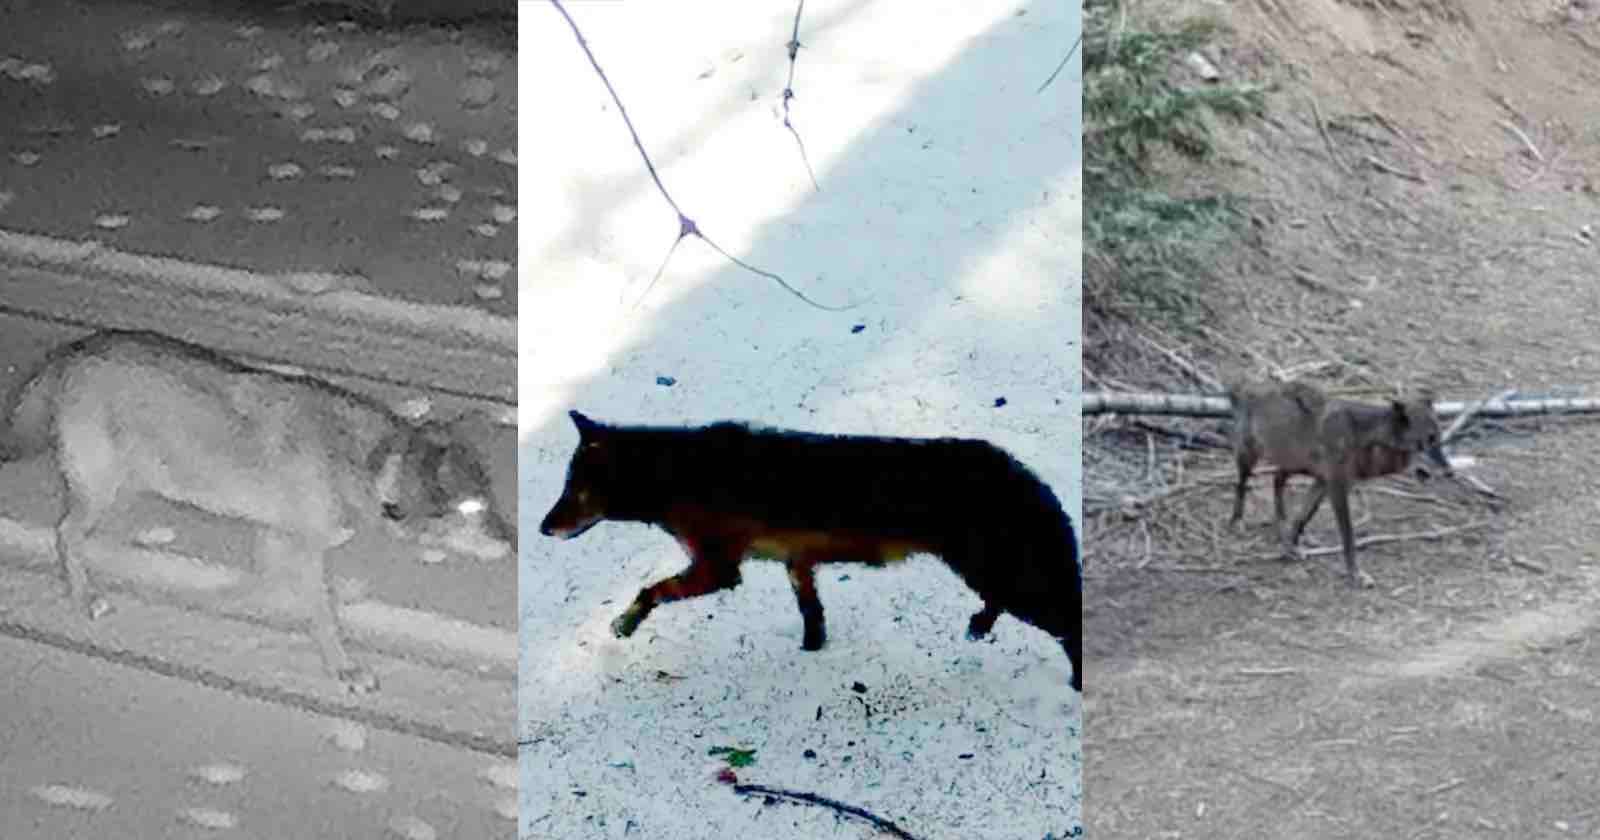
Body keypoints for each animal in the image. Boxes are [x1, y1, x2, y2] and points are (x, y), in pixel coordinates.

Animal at [0, 329, 513, 693]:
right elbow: (322, 614)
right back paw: (86, 599)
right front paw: (345, 669)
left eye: (490, 501)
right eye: (471, 507)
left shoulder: (274, 538)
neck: (367, 467)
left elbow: (260, 588)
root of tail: (73, 349)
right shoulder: (302, 550)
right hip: (102, 492)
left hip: (127, 490)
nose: (513, 543)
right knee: (65, 535)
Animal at [539, 411, 1082, 692]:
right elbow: (811, 612)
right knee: (1005, 603)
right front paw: (812, 649)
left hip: (997, 572)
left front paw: (625, 624)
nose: (543, 528)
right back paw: (979, 625)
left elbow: (648, 590)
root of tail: (1022, 474)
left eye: (574, 491)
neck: (680, 473)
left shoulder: (719, 568)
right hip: (988, 570)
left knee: (1065, 620)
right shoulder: (795, 560)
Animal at [1227, 379, 1451, 588]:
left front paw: (1290, 548)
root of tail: (1250, 387)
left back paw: (1281, 523)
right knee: (1241, 483)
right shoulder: (1337, 486)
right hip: (1250, 455)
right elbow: (1348, 535)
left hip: (1294, 465)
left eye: (1439, 440)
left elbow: (1303, 517)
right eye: (1428, 441)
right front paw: (1356, 575)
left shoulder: (1325, 481)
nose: (1449, 472)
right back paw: (1237, 521)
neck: (1362, 437)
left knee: (1277, 479)